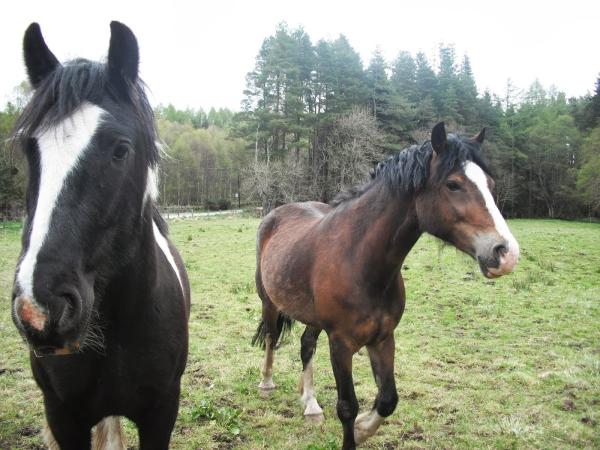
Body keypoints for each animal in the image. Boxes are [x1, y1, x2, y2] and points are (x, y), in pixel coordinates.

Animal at [253, 121, 520, 448]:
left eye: (490, 183)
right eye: (453, 184)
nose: (506, 253)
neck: (360, 262)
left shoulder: (383, 338)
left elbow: (388, 399)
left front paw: (362, 429)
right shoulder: (340, 344)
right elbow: (347, 406)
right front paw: (353, 432)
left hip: (313, 318)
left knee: (306, 346)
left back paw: (311, 404)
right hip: (269, 301)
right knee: (271, 336)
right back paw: (266, 383)